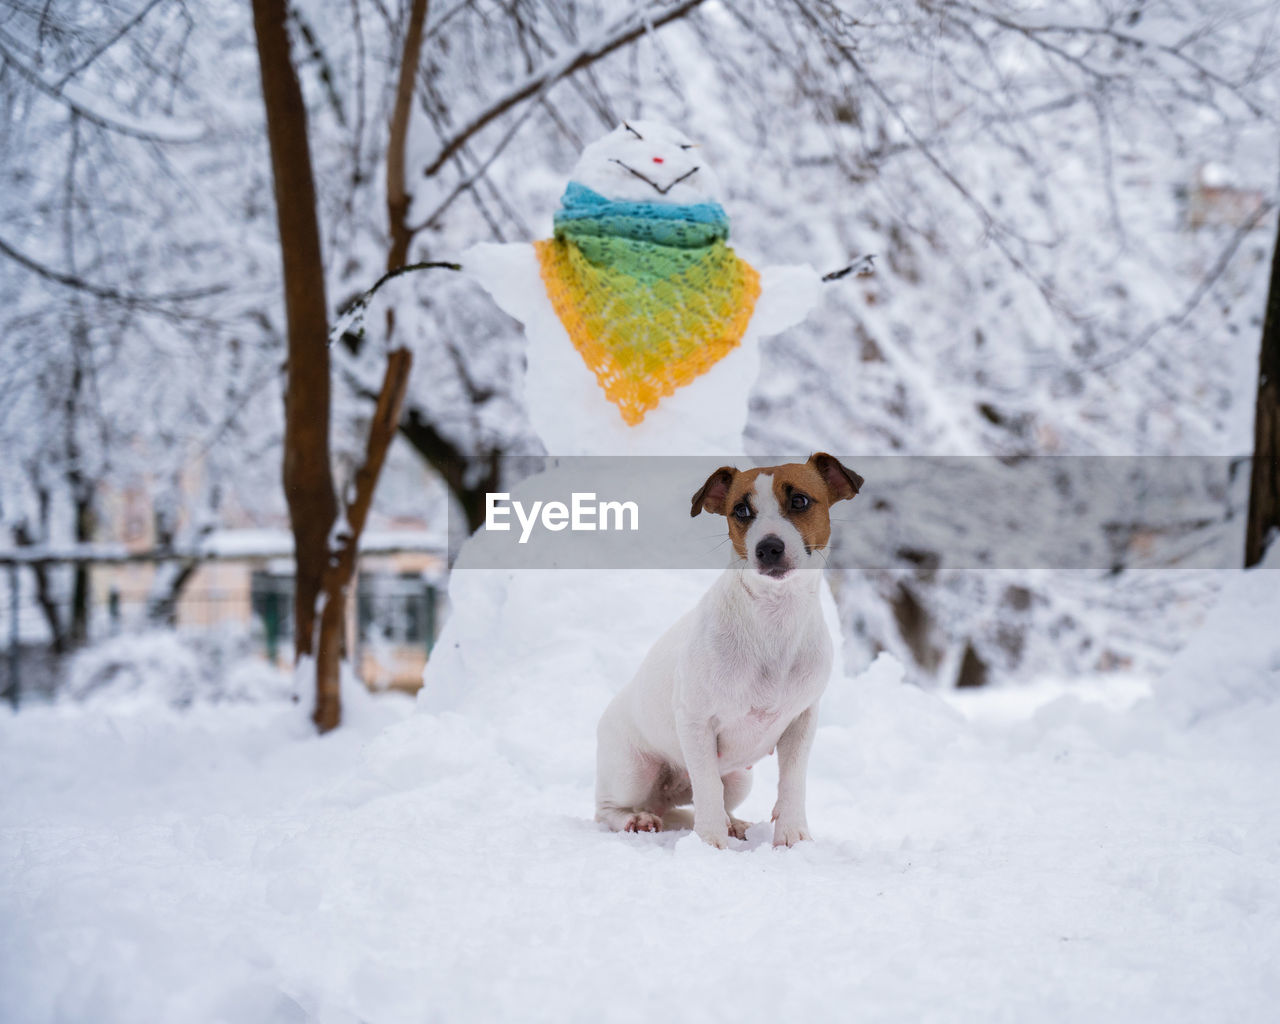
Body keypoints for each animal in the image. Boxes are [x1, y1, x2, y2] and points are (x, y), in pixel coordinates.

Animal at [596, 453, 860, 849]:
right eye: (741, 510)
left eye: (799, 500)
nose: (768, 547)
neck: (772, 618)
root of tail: (662, 799)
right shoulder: (696, 722)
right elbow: (707, 787)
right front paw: (710, 842)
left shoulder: (801, 720)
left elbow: (792, 781)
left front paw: (792, 835)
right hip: (633, 771)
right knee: (609, 809)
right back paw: (637, 819)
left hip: (738, 779)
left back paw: (733, 823)